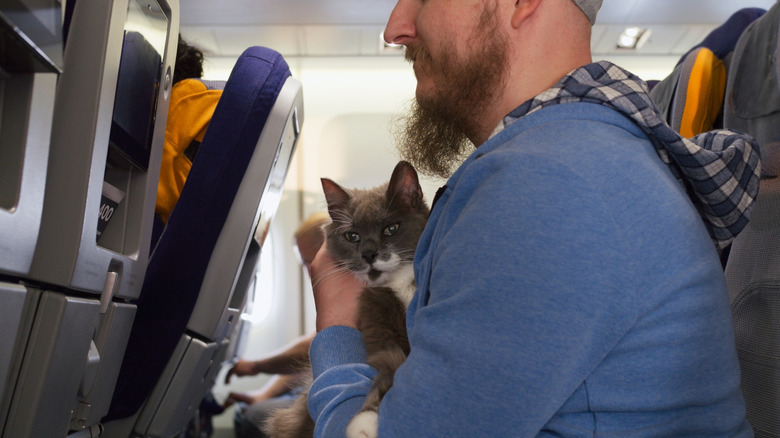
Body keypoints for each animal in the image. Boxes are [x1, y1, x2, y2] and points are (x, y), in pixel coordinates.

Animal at [266, 161, 430, 438]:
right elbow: (390, 366)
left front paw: (365, 423)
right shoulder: (381, 332)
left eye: (391, 229)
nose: (369, 254)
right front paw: (365, 425)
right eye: (352, 236)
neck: (399, 283)